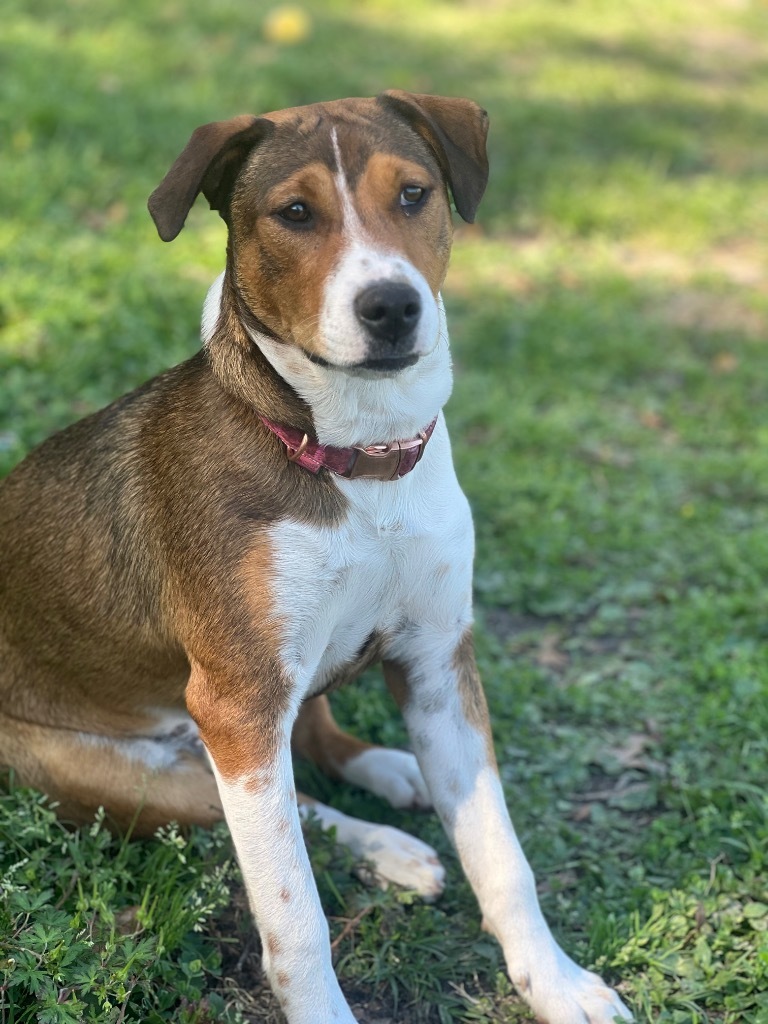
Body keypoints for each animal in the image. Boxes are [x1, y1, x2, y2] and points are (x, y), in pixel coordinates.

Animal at [0, 96, 630, 1024]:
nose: (391, 306)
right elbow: (293, 913)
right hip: (142, 771)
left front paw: (554, 982)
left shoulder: (438, 662)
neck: (358, 459)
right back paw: (386, 840)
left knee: (316, 749)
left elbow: (502, 857)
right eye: (295, 213)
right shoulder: (239, 702)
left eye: (414, 194)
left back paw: (392, 775)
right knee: (287, 804)